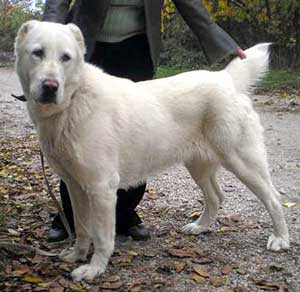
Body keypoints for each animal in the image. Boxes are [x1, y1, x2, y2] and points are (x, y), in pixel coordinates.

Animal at [15, 20, 290, 280]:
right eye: (38, 53)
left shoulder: (101, 188)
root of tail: (226, 78)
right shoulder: (75, 186)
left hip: (242, 161)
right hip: (198, 166)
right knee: (215, 197)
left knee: (273, 198)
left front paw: (94, 269)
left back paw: (281, 239)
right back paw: (200, 227)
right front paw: (76, 255)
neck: (73, 101)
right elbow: (82, 228)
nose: (50, 86)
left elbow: (102, 237)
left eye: (66, 57)